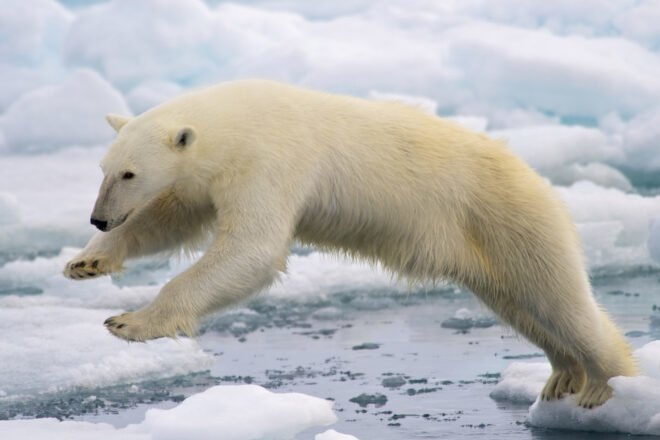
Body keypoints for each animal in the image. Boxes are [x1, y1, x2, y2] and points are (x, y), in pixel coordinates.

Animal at [63, 79, 635, 408]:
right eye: (104, 168)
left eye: (130, 173)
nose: (98, 217)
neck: (236, 120)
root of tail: (537, 178)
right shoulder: (209, 177)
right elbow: (172, 218)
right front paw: (87, 262)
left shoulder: (271, 160)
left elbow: (252, 248)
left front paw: (129, 322)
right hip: (484, 247)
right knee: (521, 305)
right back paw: (562, 375)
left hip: (508, 217)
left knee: (559, 298)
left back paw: (605, 385)